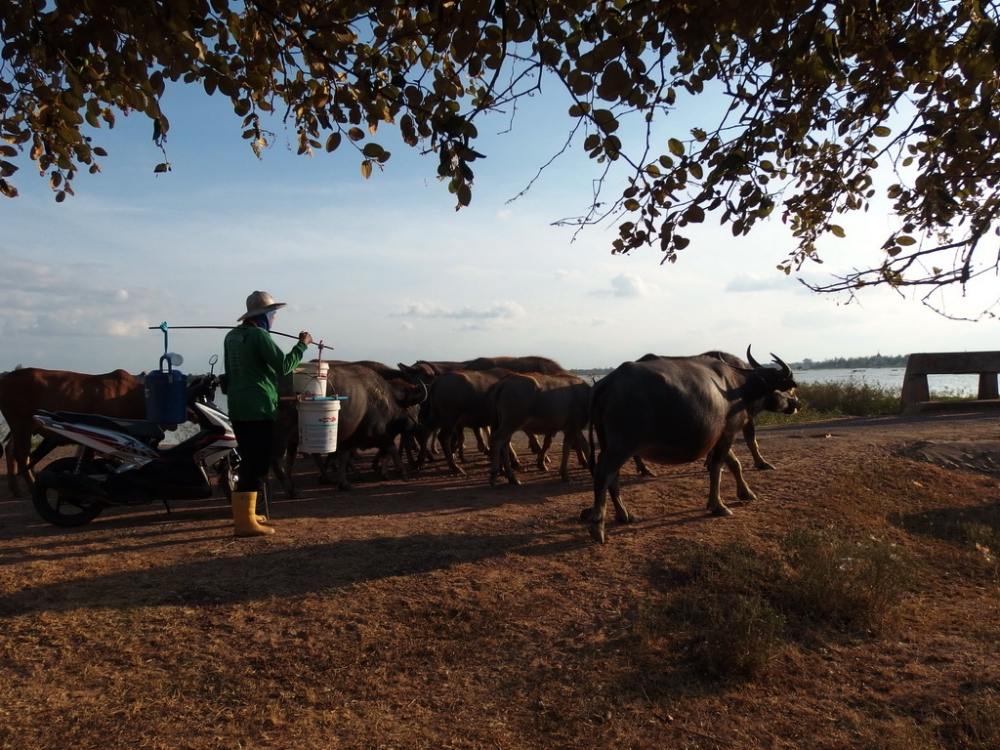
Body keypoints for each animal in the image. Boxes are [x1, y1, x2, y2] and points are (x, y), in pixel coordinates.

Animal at [584, 350, 796, 544]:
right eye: (783, 390)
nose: (796, 403)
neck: (736, 387)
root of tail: (606, 383)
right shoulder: (728, 433)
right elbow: (717, 468)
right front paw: (718, 505)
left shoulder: (720, 436)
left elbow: (734, 464)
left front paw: (746, 493)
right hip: (621, 446)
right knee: (604, 474)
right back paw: (598, 527)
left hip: (608, 443)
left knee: (612, 477)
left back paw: (625, 515)